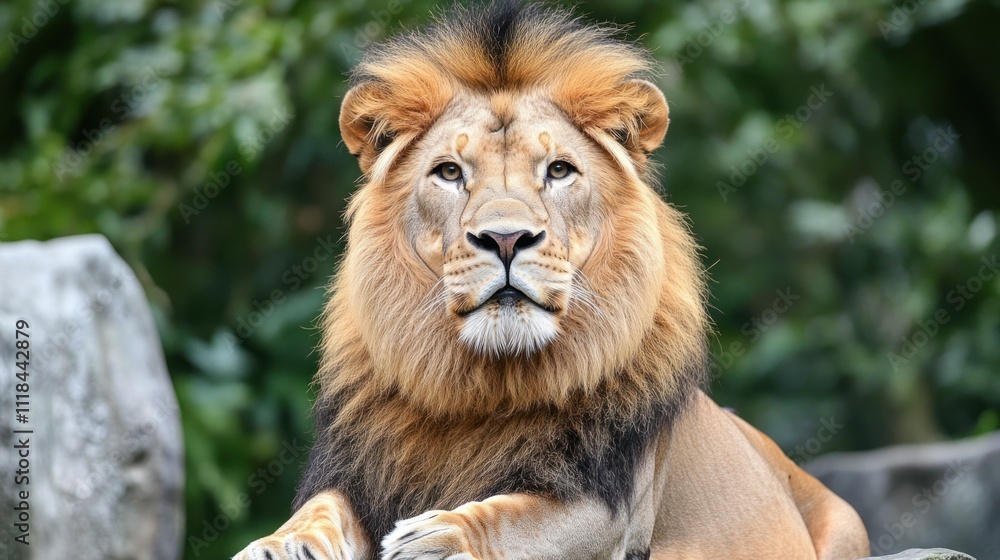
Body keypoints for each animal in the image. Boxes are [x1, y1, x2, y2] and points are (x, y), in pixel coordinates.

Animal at [234, 2, 869, 559]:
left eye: (559, 170)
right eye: (449, 172)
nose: (506, 239)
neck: (483, 384)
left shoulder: (607, 506)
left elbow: (515, 518)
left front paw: (438, 539)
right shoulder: (359, 471)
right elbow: (319, 509)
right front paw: (279, 544)